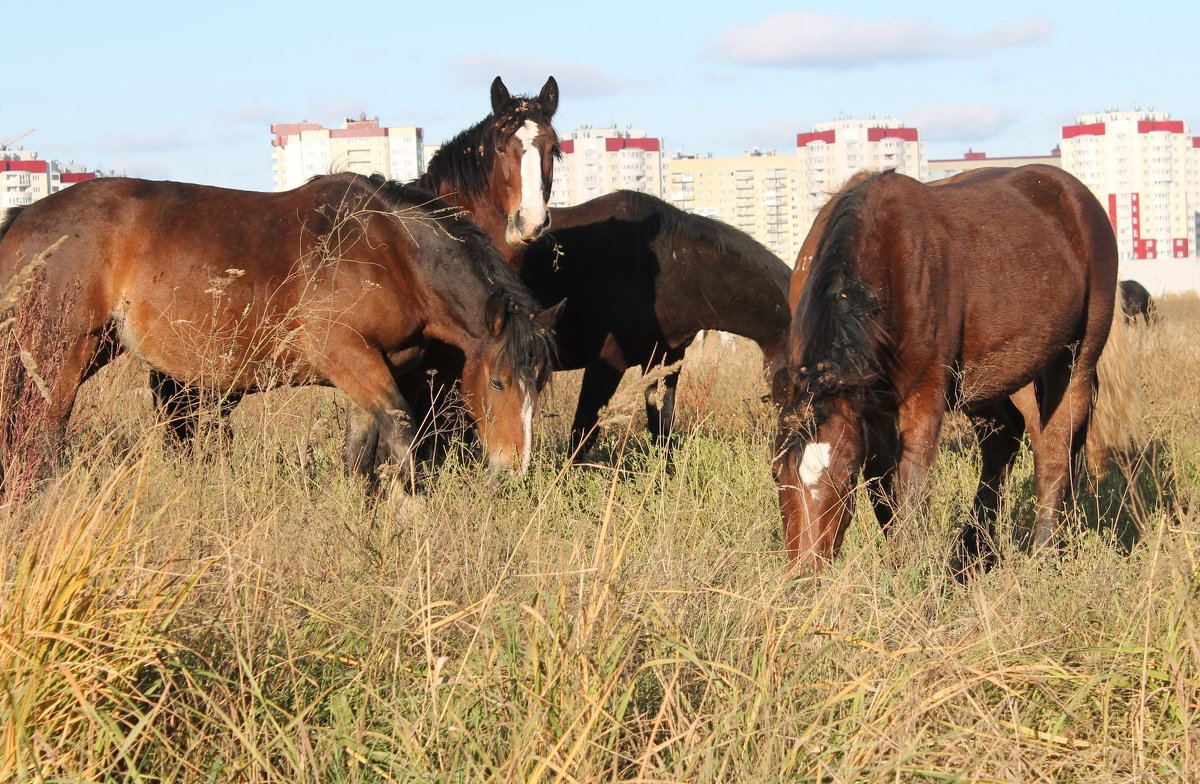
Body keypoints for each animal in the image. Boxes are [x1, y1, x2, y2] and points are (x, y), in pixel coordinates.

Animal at [0, 174, 556, 485]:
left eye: (540, 386)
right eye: (498, 382)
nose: (513, 470)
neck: (391, 250)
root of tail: (24, 214)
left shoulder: (371, 373)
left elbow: (360, 459)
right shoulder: (352, 360)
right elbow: (401, 440)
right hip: (63, 356)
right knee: (43, 438)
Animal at [772, 163, 1118, 569]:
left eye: (844, 478)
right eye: (777, 474)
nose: (804, 571)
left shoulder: (924, 397)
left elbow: (911, 486)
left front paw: (910, 569)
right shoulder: (869, 408)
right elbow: (883, 487)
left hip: (1074, 361)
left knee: (1055, 448)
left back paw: (1043, 551)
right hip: (995, 376)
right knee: (1007, 436)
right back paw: (975, 548)